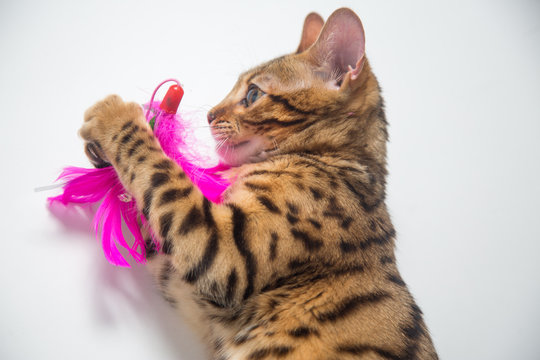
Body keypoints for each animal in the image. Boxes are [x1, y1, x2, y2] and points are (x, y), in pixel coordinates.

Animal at [78, 8, 436, 360]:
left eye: (253, 94)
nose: (209, 115)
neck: (329, 157)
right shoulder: (190, 289)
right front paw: (105, 154)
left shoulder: (223, 252)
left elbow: (158, 172)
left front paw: (115, 116)